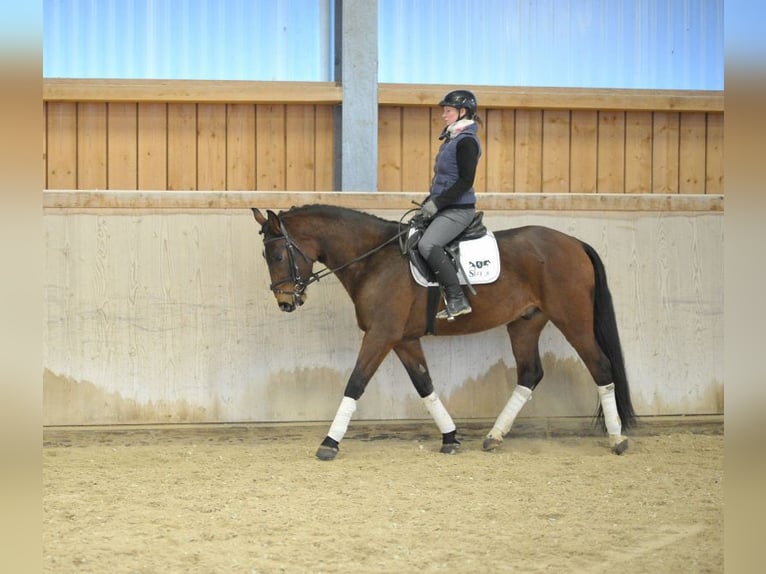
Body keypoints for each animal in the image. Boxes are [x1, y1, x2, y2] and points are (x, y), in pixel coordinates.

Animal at [252, 205, 636, 462]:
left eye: (276, 255)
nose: (285, 302)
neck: (374, 260)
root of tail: (574, 243)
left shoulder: (380, 335)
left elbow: (355, 383)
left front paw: (329, 443)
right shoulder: (403, 340)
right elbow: (425, 385)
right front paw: (450, 437)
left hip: (572, 318)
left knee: (601, 367)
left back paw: (617, 439)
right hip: (526, 322)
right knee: (530, 373)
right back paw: (494, 436)